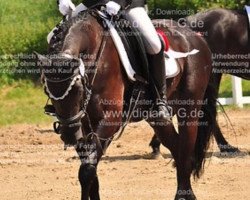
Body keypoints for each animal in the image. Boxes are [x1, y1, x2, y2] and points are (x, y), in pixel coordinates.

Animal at [35, 8, 217, 199]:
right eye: (47, 90)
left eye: (77, 88)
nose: (70, 135)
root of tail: (196, 37)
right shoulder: (84, 123)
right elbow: (91, 169)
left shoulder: (110, 120)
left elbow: (87, 170)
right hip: (155, 117)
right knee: (176, 147)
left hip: (189, 110)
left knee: (186, 150)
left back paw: (186, 194)